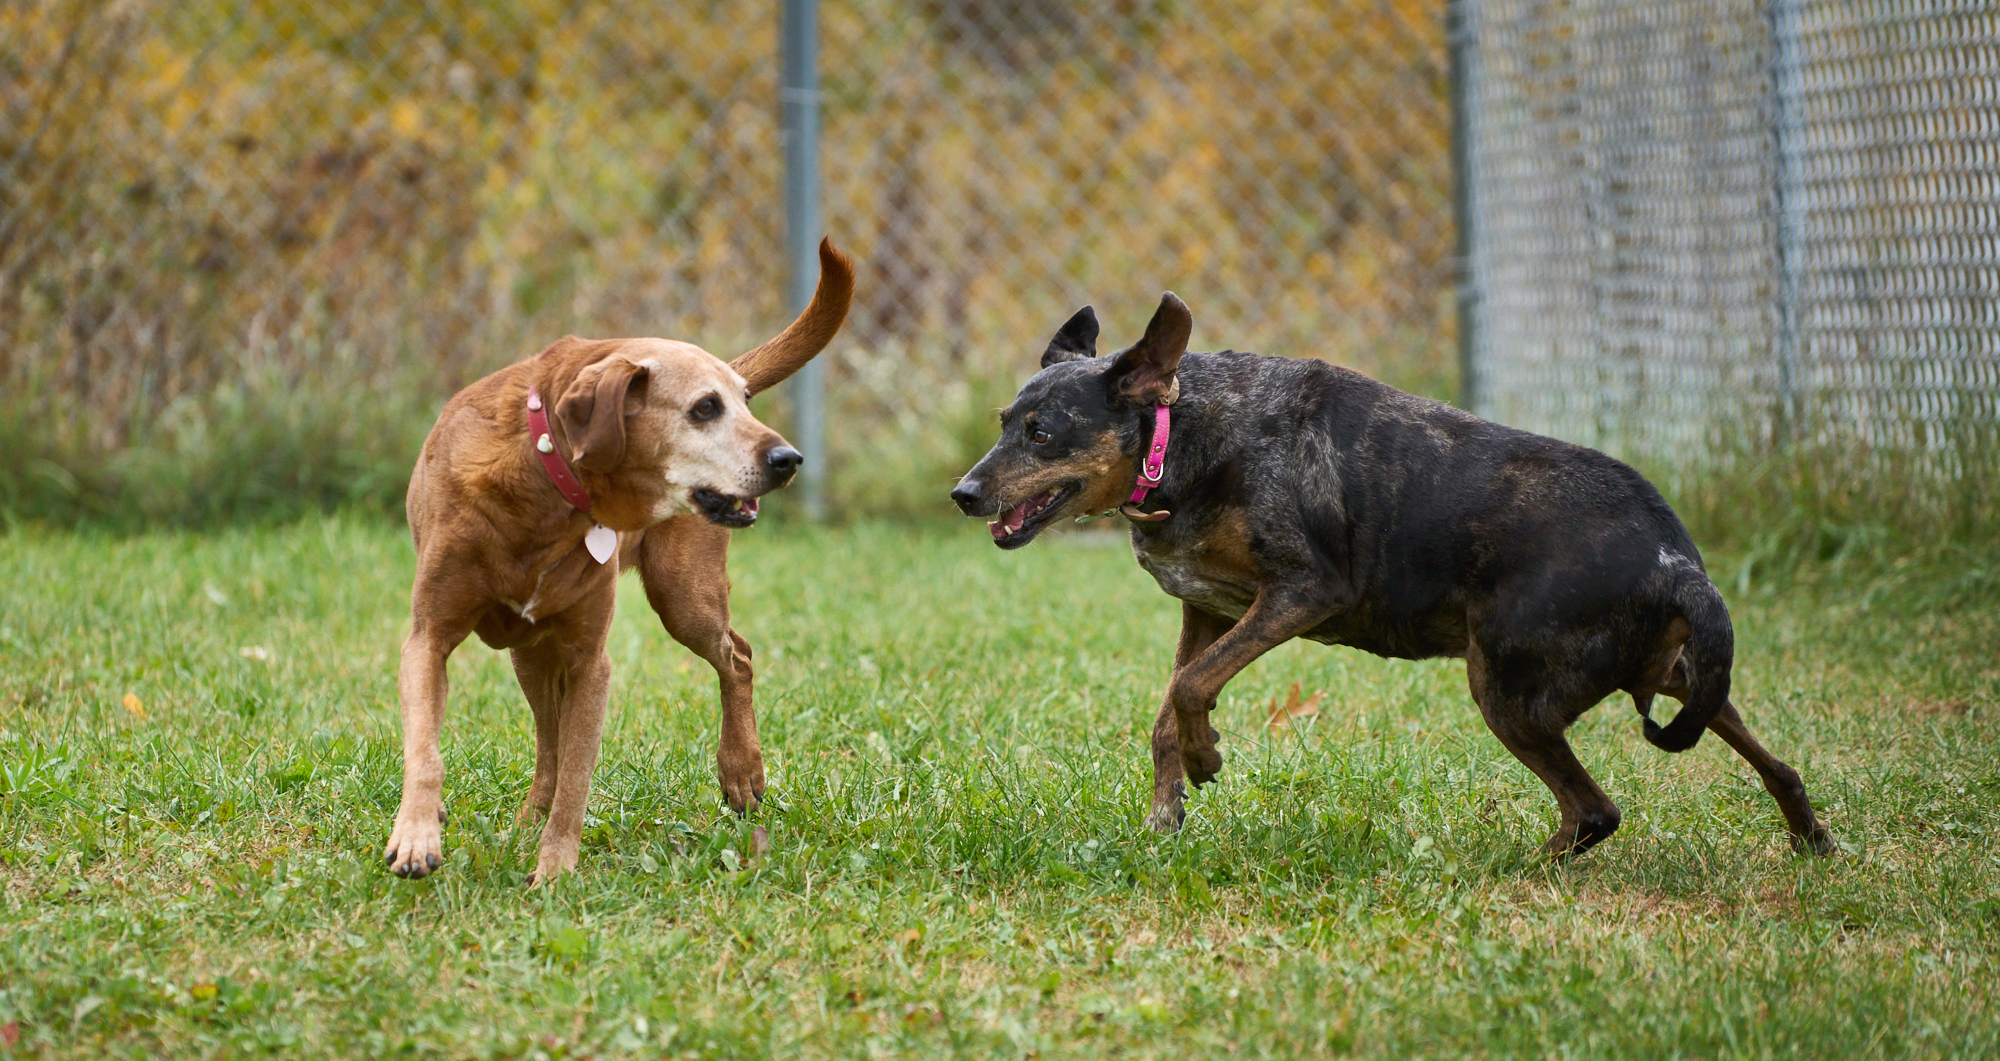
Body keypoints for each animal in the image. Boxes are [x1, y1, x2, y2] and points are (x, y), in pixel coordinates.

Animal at [388, 237, 852, 876]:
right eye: (705, 408)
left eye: (744, 401)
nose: (789, 459)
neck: (546, 485)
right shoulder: (427, 637)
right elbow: (427, 751)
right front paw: (416, 834)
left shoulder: (591, 662)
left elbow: (578, 782)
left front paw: (555, 871)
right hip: (531, 653)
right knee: (548, 742)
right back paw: (525, 817)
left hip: (684, 597)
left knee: (737, 657)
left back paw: (741, 771)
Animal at [952, 292, 1840, 852]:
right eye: (1002, 421)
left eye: (1042, 431)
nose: (963, 492)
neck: (1178, 435)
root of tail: (1674, 559)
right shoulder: (1209, 608)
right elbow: (1173, 699)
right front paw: (1169, 805)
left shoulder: (1302, 590)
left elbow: (1193, 685)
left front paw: (1204, 759)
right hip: (1682, 672)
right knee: (1774, 762)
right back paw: (1812, 838)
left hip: (1508, 685)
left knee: (1597, 811)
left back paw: (1517, 867)